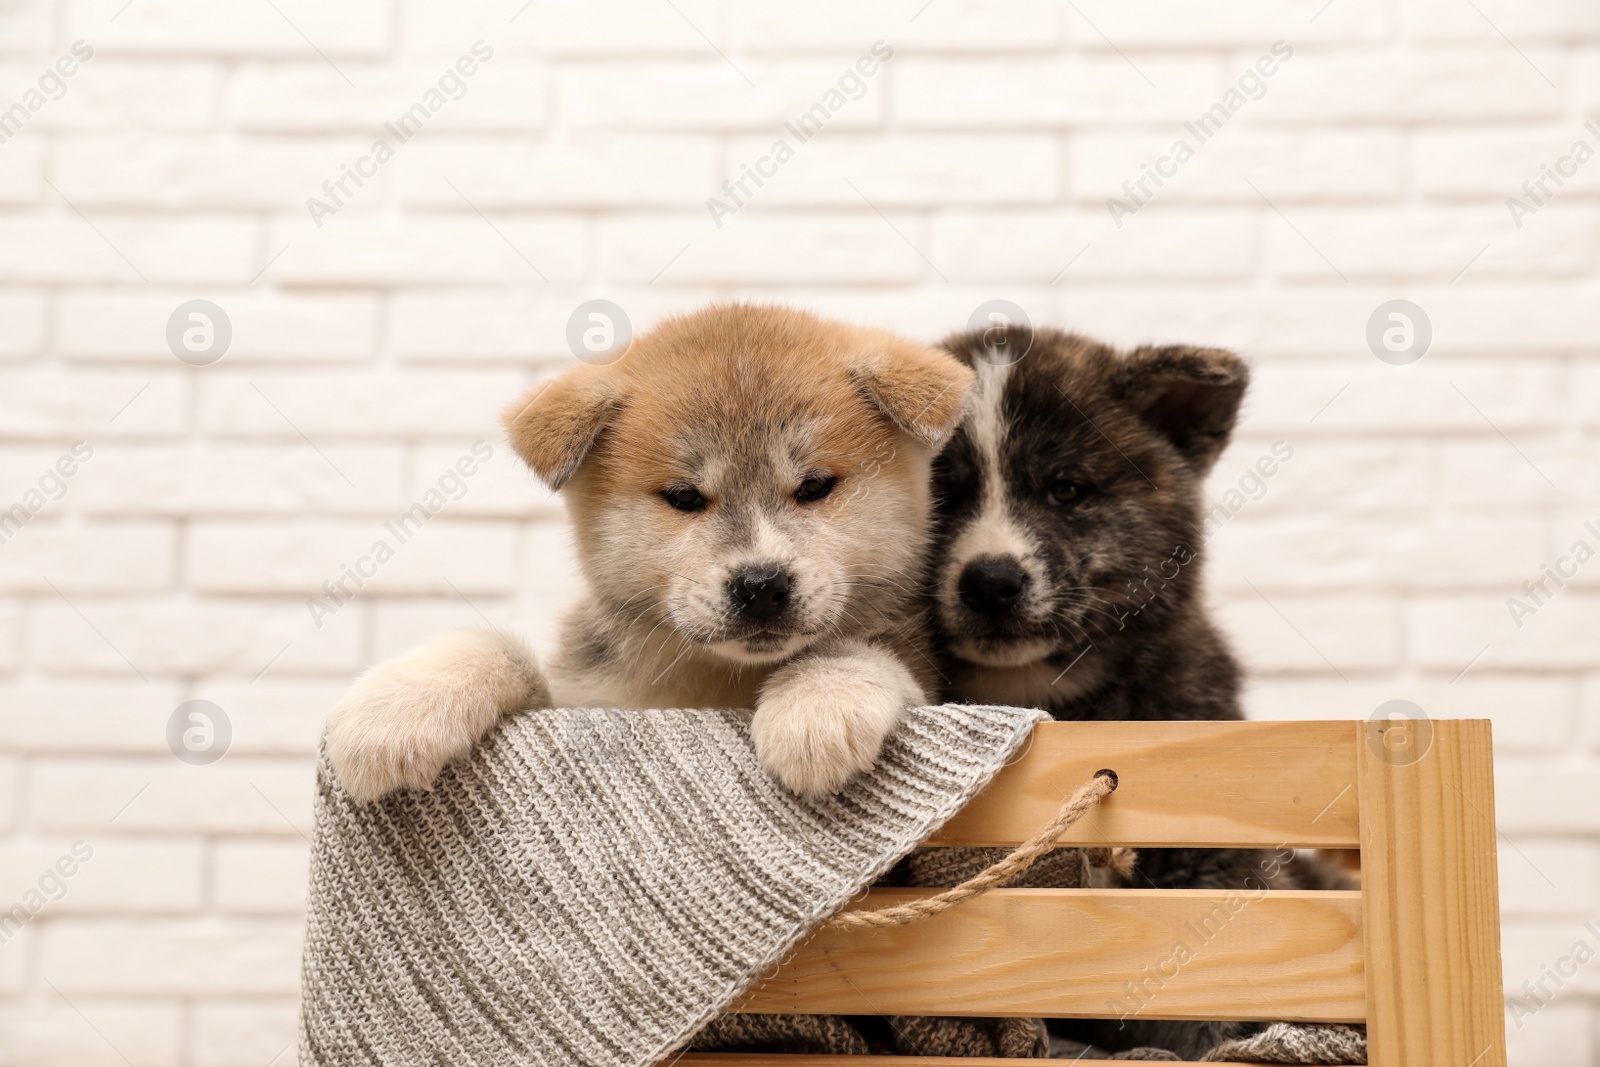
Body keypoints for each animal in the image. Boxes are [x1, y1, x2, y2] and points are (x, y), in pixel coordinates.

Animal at [324, 303, 966, 806]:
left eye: (814, 487)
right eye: (683, 497)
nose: (761, 585)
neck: (717, 683)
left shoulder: (927, 687)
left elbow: (851, 651)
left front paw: (819, 704)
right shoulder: (577, 698)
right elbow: (498, 646)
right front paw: (399, 706)